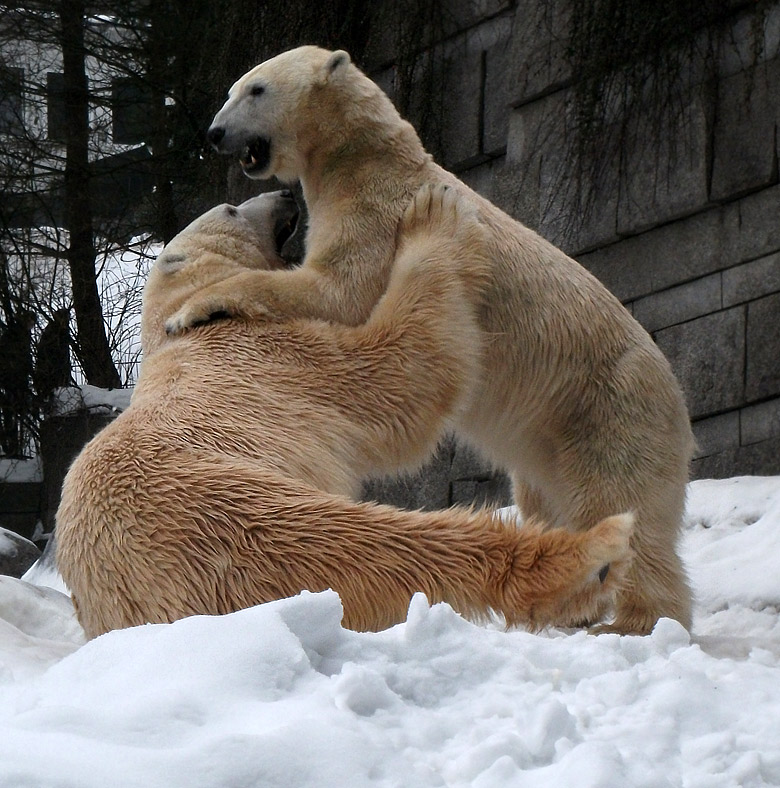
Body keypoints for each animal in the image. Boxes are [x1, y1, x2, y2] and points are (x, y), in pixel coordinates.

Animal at [56, 188, 632, 644]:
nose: (286, 194)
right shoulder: (276, 355)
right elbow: (400, 375)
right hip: (229, 513)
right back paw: (593, 557)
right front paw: (433, 215)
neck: (177, 325)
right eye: (231, 208)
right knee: (374, 545)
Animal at [166, 44, 696, 636]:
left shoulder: (378, 212)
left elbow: (338, 290)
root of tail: (675, 392)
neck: (366, 158)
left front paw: (191, 309)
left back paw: (637, 620)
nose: (215, 132)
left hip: (611, 407)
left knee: (621, 495)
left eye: (255, 89)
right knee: (547, 495)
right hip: (552, 435)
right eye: (233, 89)